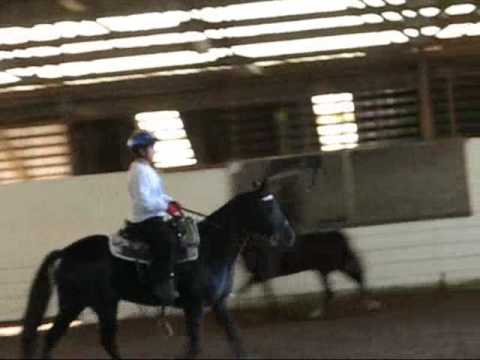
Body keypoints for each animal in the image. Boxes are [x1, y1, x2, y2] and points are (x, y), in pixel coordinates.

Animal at [21, 181, 292, 358]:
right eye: (268, 207)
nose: (289, 236)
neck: (210, 247)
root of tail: (66, 252)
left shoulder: (218, 303)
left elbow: (235, 339)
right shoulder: (194, 305)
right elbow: (195, 346)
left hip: (87, 304)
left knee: (80, 339)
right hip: (89, 304)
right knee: (73, 338)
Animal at [238, 231, 380, 318]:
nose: (246, 265)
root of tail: (340, 237)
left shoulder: (265, 273)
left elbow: (251, 286)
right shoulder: (262, 275)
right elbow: (266, 290)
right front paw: (274, 308)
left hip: (331, 267)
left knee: (344, 285)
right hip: (331, 267)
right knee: (351, 280)